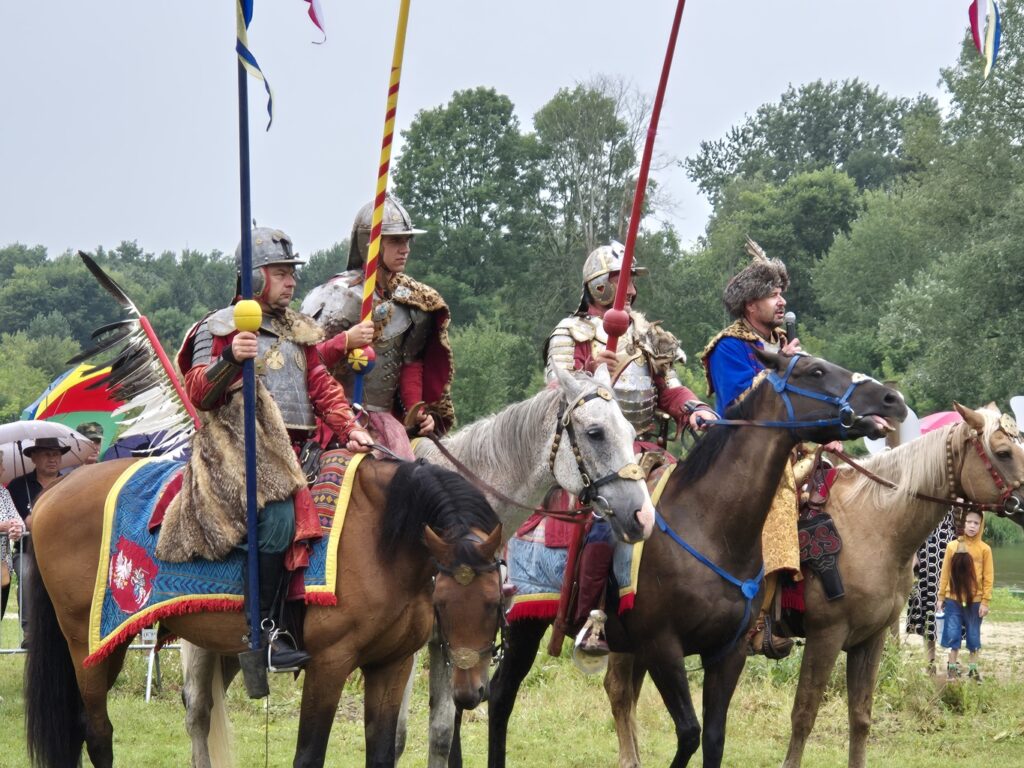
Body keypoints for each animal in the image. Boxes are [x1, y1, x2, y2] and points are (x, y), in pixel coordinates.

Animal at [22, 456, 501, 768]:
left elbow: (382, 753)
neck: (382, 539)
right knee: (97, 731)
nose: (470, 693)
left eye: (495, 602)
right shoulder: (330, 663)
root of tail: (50, 495)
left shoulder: (392, 664)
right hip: (87, 642)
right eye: (444, 603)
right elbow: (309, 754)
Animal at [483, 354, 909, 768]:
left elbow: (713, 740)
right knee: (502, 695)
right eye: (816, 371)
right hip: (525, 626)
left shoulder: (727, 653)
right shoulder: (663, 647)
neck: (713, 527)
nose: (892, 400)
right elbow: (689, 733)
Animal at [774, 403, 1024, 768]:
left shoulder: (870, 638)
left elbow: (860, 717)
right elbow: (803, 715)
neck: (874, 523)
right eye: (1004, 452)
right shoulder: (825, 636)